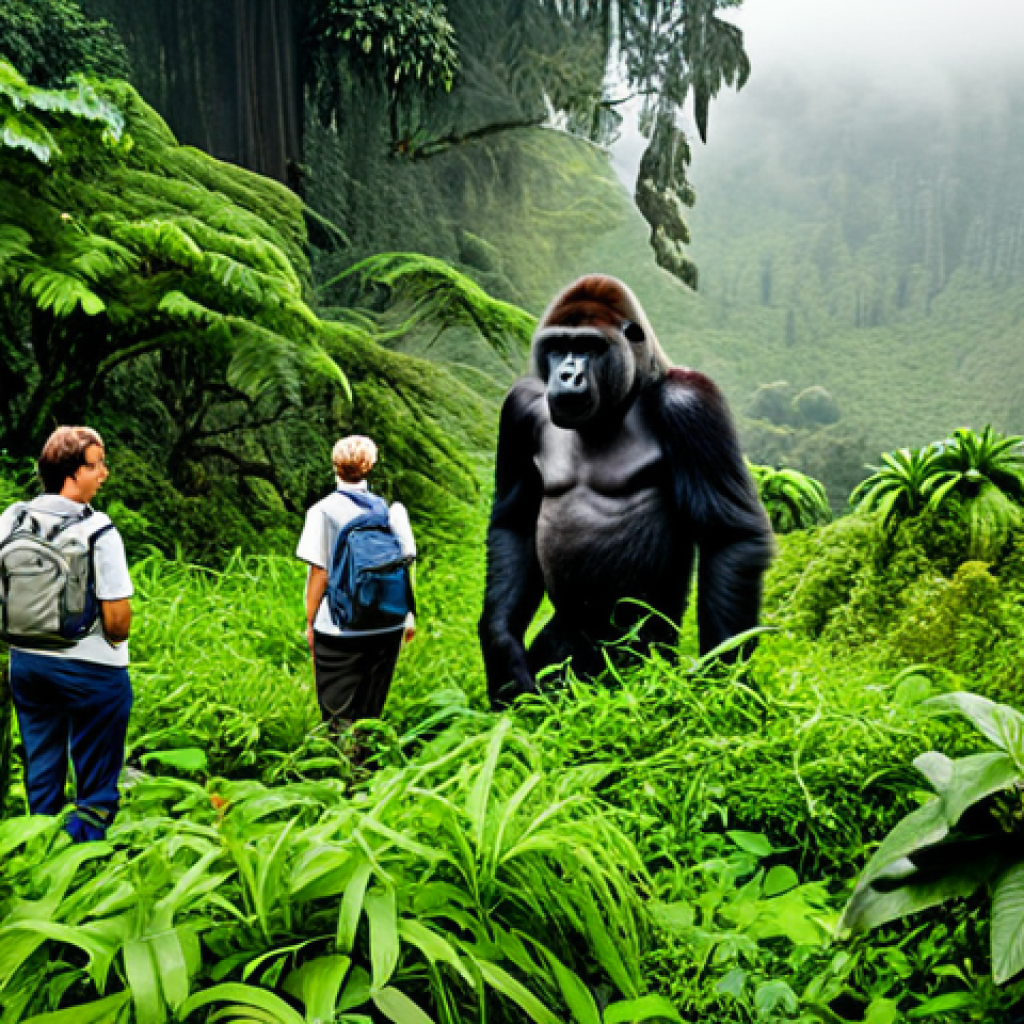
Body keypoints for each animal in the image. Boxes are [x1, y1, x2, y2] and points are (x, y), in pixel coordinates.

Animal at [478, 274, 773, 708]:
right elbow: (514, 521)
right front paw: (502, 652)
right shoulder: (520, 406)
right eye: (559, 346)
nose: (567, 375)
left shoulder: (692, 401)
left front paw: (722, 686)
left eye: (589, 347)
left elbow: (728, 535)